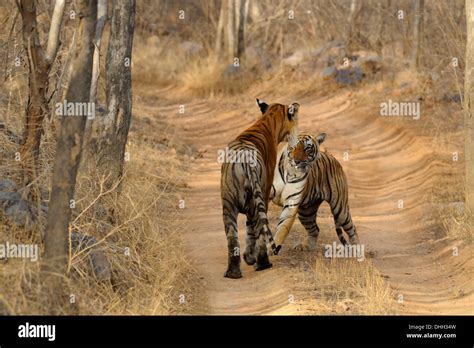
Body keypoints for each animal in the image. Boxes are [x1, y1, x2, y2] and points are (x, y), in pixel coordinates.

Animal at [220, 98, 298, 278]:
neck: (268, 119)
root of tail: (245, 159)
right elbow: (253, 230)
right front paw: (251, 258)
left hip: (228, 205)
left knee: (232, 237)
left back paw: (233, 272)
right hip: (258, 199)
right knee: (260, 230)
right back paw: (262, 263)